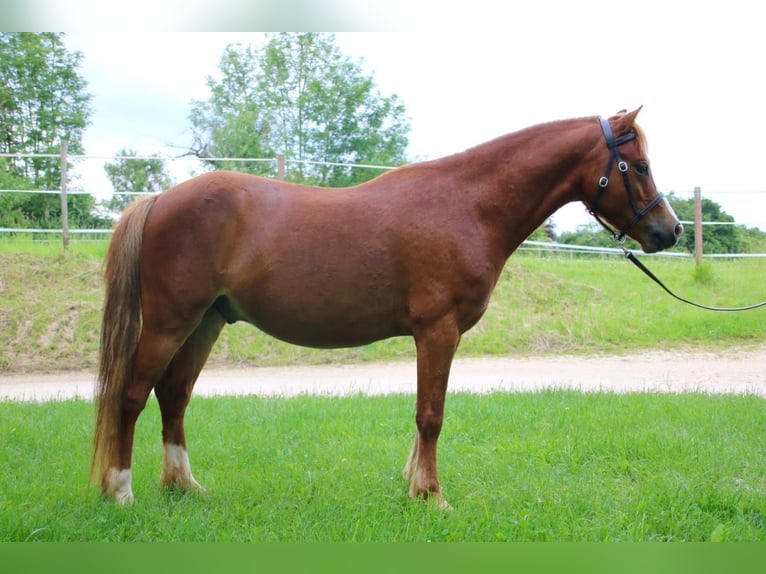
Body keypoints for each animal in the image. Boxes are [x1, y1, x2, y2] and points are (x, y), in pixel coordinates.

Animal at [91, 108, 684, 508]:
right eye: (638, 165)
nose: (670, 230)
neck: (467, 205)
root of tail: (160, 200)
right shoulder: (439, 331)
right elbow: (431, 416)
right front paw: (432, 496)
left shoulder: (433, 336)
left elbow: (423, 416)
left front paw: (414, 484)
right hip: (170, 322)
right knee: (132, 395)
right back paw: (120, 492)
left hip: (206, 323)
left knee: (174, 396)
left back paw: (183, 486)